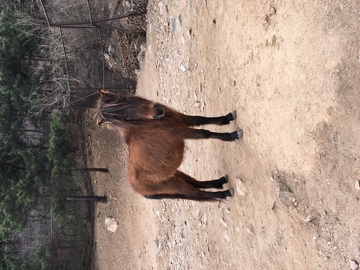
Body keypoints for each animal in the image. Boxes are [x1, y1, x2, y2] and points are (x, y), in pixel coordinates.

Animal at [94, 89, 243, 201]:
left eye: (125, 99)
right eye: (126, 119)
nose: (157, 110)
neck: (145, 124)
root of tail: (136, 188)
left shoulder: (182, 119)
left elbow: (201, 119)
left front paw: (226, 118)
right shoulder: (180, 132)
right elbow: (205, 133)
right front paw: (232, 136)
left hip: (176, 175)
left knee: (196, 183)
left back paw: (220, 182)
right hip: (174, 185)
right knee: (198, 193)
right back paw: (225, 193)